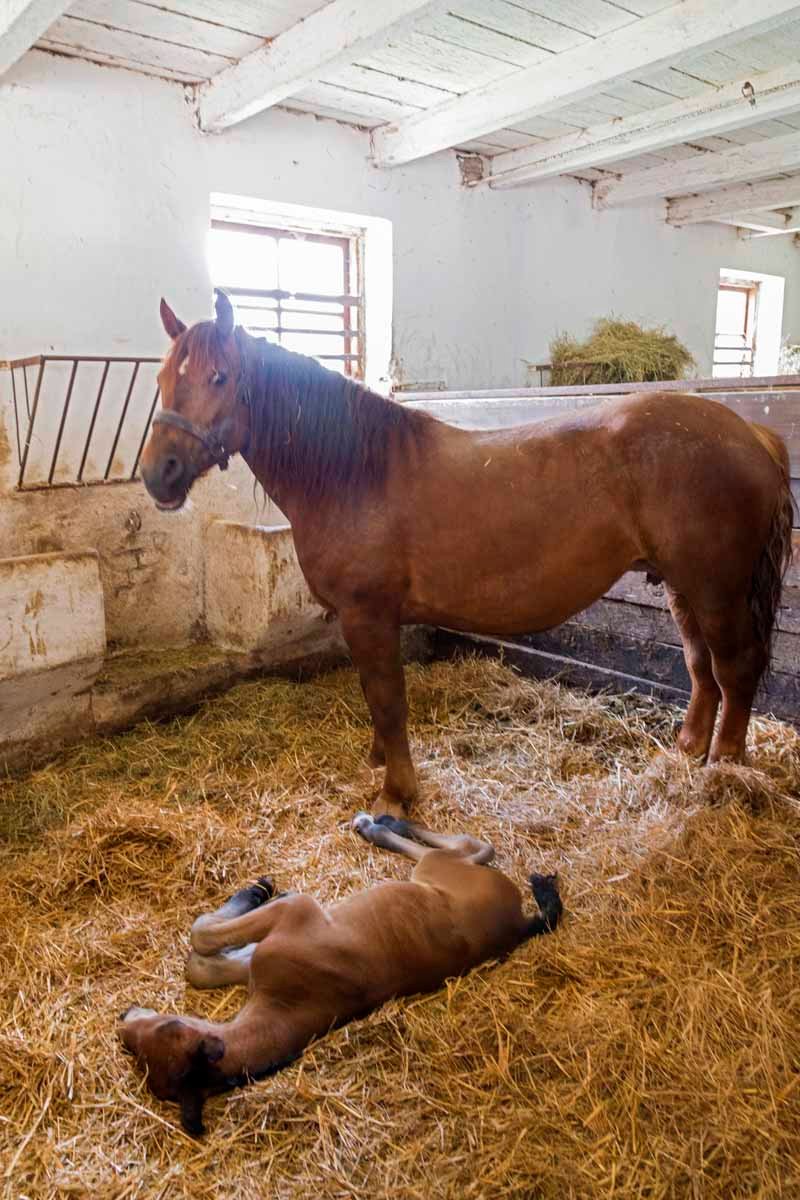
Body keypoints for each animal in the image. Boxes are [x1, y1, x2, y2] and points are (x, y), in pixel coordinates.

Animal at [118, 816, 563, 1132]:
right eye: (132, 1049)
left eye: (166, 1026)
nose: (124, 1018)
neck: (290, 1003)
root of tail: (518, 921)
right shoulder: (261, 958)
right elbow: (204, 964)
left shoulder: (297, 912)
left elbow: (203, 935)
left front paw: (258, 890)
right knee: (473, 847)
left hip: (439, 867)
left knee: (471, 845)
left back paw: (377, 824)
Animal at [142, 292, 796, 816]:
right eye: (162, 379)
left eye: (220, 377)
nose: (158, 474)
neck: (355, 472)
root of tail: (750, 433)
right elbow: (375, 699)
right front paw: (380, 762)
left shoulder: (368, 614)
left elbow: (388, 700)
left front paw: (397, 793)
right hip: (683, 586)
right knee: (701, 669)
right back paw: (688, 754)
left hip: (717, 589)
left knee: (735, 669)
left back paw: (725, 771)